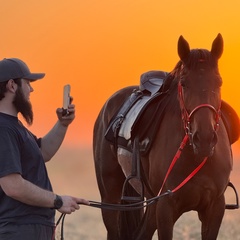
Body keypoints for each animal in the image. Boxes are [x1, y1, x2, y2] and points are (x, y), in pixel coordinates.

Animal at [92, 34, 238, 240]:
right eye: (184, 83)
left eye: (219, 82)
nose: (204, 139)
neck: (195, 156)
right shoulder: (165, 207)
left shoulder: (215, 208)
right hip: (111, 200)